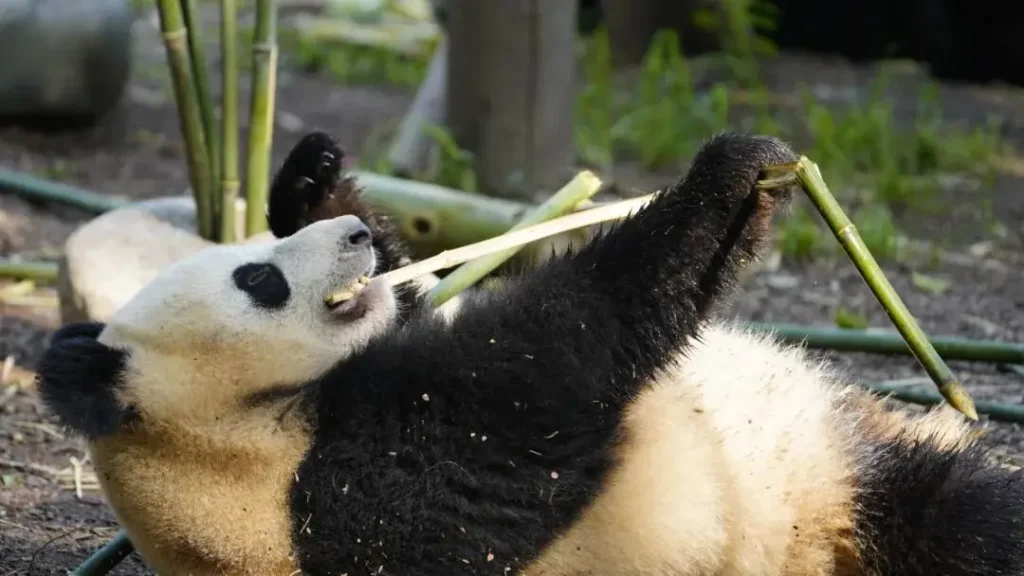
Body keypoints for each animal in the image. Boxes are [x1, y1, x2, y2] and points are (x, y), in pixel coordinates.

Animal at [36, 131, 1024, 576]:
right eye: (258, 281)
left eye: (256, 253)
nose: (350, 239)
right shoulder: (356, 485)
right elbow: (561, 350)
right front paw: (734, 174)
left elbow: (425, 298)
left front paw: (313, 178)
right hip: (814, 503)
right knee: (967, 520)